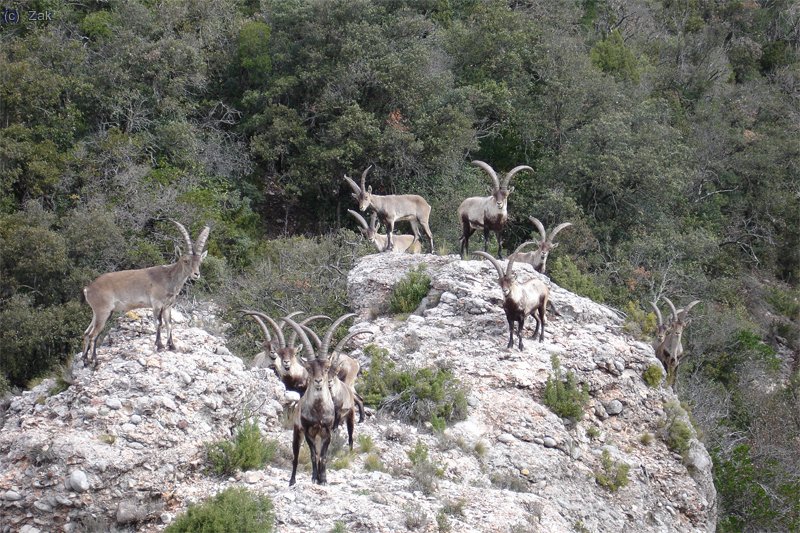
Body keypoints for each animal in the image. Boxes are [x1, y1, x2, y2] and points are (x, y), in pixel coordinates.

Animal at [81, 220, 210, 367]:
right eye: (186, 260)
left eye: (200, 261)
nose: (196, 274)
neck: (168, 278)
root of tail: (88, 288)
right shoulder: (157, 303)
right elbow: (159, 323)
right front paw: (159, 346)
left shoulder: (168, 306)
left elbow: (169, 323)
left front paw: (172, 346)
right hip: (103, 311)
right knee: (93, 335)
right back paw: (95, 362)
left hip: (98, 312)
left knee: (86, 333)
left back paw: (85, 360)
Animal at [282, 313, 357, 486]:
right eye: (309, 369)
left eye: (326, 368)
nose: (318, 381)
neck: (318, 411)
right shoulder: (308, 431)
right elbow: (312, 454)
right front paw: (315, 477)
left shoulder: (326, 431)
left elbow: (322, 455)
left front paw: (323, 478)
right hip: (297, 431)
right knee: (296, 456)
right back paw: (292, 480)